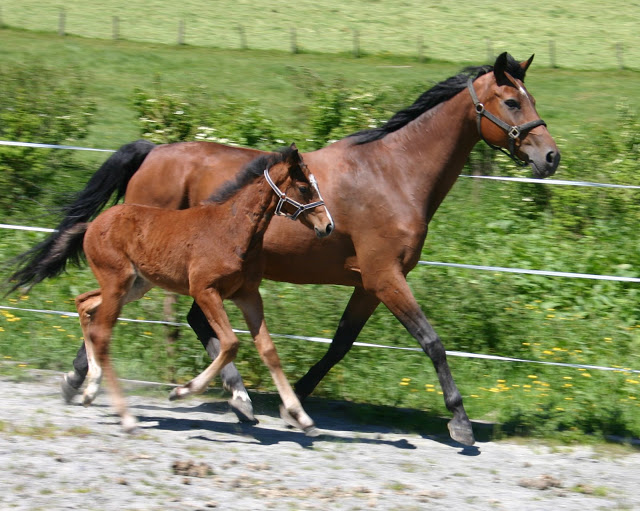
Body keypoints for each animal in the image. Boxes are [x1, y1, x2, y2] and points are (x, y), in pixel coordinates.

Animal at [47, 145, 332, 432]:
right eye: (304, 187)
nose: (327, 225)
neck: (233, 230)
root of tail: (92, 225)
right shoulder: (204, 290)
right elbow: (230, 343)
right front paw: (181, 391)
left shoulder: (248, 295)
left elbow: (269, 351)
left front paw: (300, 416)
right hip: (117, 283)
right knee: (102, 334)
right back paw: (124, 415)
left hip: (136, 285)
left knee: (84, 304)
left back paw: (89, 391)